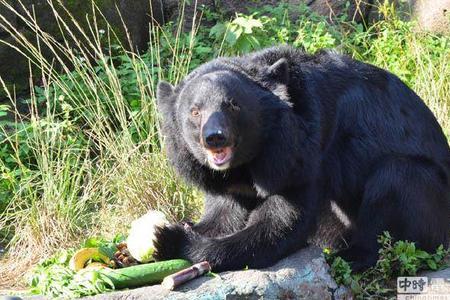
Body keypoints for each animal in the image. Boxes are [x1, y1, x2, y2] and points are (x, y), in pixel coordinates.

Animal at [155, 46, 450, 272]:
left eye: (233, 105)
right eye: (195, 111)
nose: (215, 137)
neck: (246, 162)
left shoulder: (301, 154)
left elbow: (279, 223)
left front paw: (169, 240)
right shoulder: (226, 180)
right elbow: (223, 214)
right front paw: (175, 230)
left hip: (426, 190)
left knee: (396, 179)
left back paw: (347, 257)